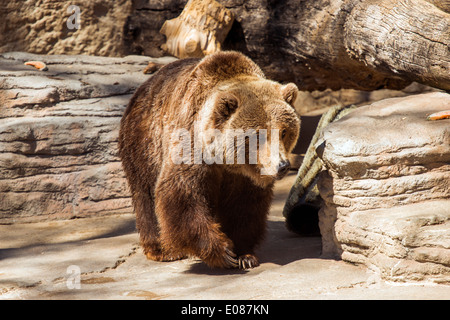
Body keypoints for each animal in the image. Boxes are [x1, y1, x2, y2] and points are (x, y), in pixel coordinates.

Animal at [119, 51, 300, 268]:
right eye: (258, 135)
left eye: (284, 132)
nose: (282, 166)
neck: (227, 161)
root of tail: (143, 87)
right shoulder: (191, 143)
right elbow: (182, 194)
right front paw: (223, 250)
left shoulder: (244, 178)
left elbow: (245, 205)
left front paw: (245, 255)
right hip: (145, 142)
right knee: (146, 193)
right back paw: (162, 250)